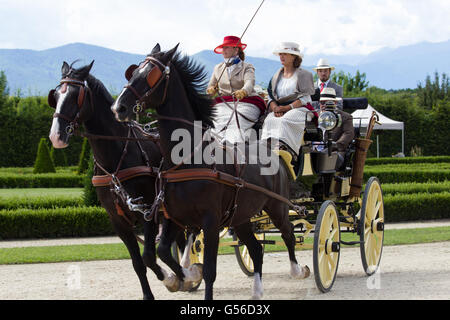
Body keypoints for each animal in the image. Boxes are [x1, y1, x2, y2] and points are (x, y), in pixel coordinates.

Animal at [47, 60, 200, 300]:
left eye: (74, 95)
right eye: (55, 95)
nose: (56, 136)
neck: (117, 157)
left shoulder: (148, 212)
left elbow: (149, 256)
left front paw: (171, 278)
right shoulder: (118, 222)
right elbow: (138, 263)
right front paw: (153, 292)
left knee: (189, 235)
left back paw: (188, 271)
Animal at [111, 45, 310, 300]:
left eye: (151, 75)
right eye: (134, 72)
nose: (119, 107)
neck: (187, 160)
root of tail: (272, 149)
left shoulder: (211, 220)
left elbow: (209, 271)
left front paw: (191, 276)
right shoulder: (174, 216)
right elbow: (163, 251)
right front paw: (185, 275)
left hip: (277, 207)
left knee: (288, 234)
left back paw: (299, 270)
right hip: (241, 217)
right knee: (256, 248)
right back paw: (257, 290)